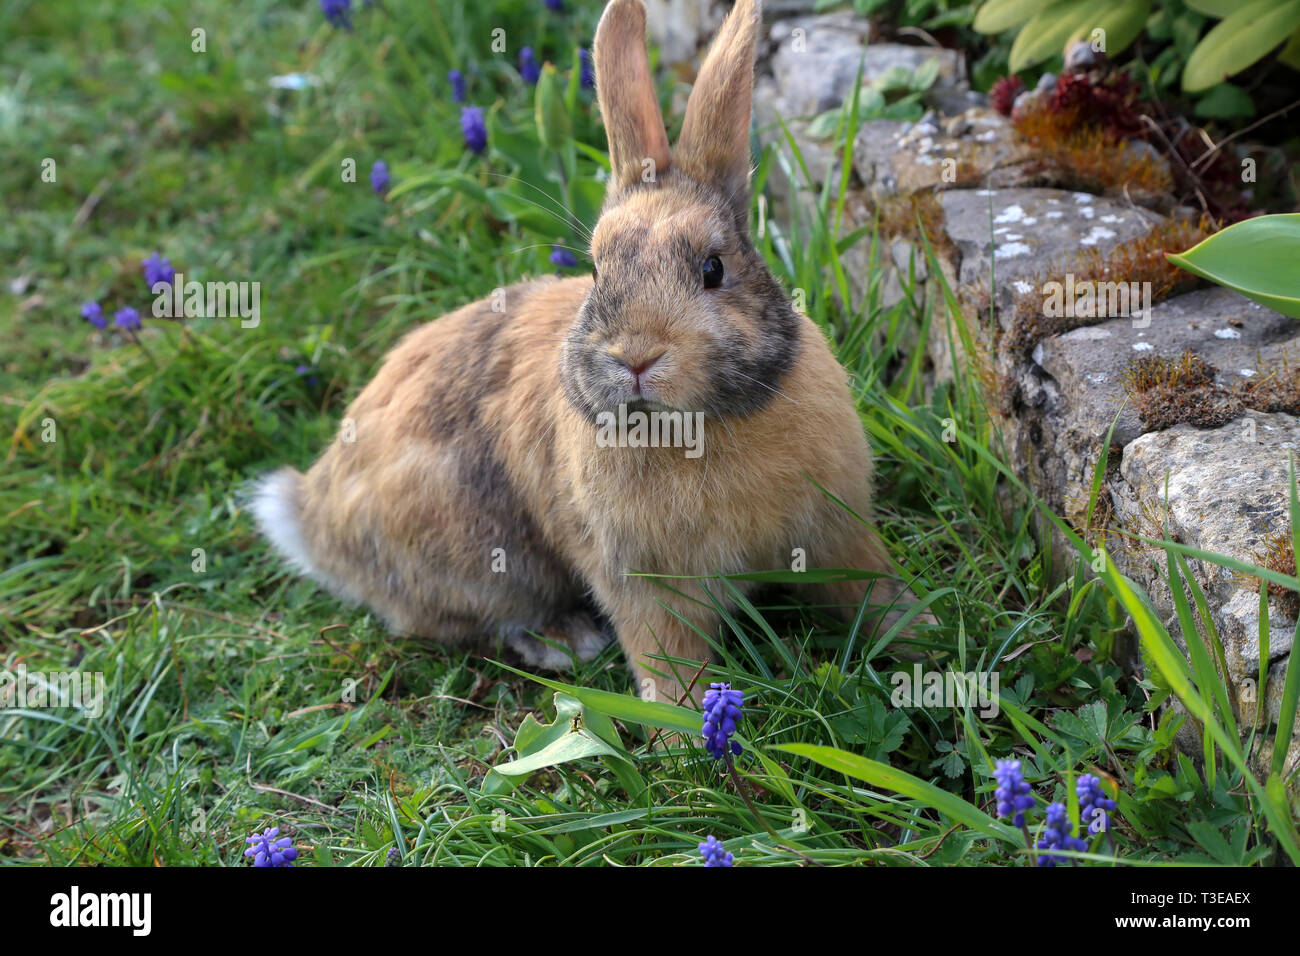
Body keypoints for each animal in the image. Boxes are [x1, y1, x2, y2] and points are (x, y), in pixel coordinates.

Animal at [251, 0, 931, 707]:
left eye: (713, 268)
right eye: (599, 269)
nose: (635, 359)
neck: (696, 429)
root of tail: (315, 512)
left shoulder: (836, 532)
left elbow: (870, 590)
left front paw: (924, 645)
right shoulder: (643, 584)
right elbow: (667, 656)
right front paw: (680, 722)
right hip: (483, 559)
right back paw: (563, 640)